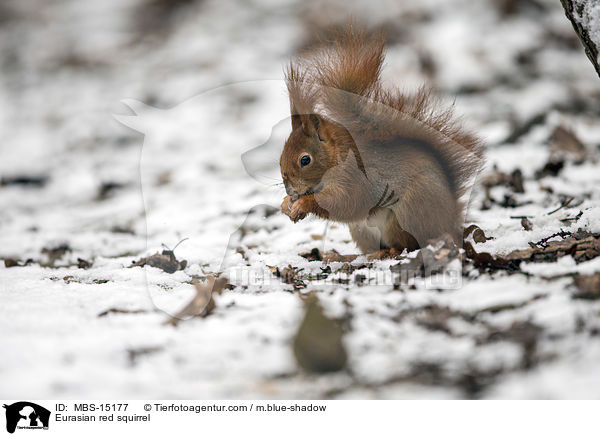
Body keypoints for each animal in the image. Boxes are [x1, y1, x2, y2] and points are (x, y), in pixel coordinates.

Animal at [280, 26, 482, 255]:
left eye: (305, 160)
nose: (289, 189)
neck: (336, 158)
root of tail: (450, 222)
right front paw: (286, 203)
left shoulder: (356, 178)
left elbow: (345, 203)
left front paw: (302, 204)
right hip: (361, 231)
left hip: (407, 215)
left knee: (406, 244)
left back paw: (387, 253)